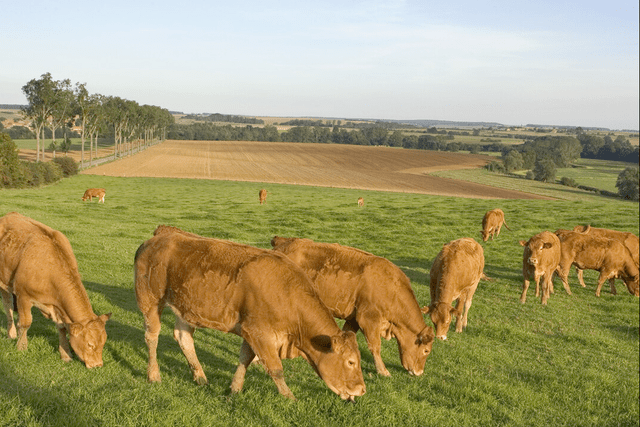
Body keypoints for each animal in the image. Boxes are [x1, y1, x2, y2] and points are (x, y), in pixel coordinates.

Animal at [0, 212, 110, 370]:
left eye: (103, 343)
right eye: (90, 345)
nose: (98, 365)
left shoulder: (58, 307)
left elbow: (62, 328)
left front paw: (66, 355)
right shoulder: (23, 296)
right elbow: (25, 323)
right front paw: (21, 347)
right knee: (8, 307)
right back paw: (12, 333)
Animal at [135, 226, 364, 402]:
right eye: (351, 362)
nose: (362, 389)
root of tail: (163, 235)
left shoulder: (251, 331)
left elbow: (245, 359)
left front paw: (234, 389)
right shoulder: (259, 333)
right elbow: (275, 368)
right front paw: (290, 398)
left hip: (184, 308)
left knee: (184, 338)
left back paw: (200, 377)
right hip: (150, 301)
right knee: (151, 337)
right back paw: (153, 375)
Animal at [270, 237, 436, 378]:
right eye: (426, 350)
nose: (419, 372)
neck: (390, 288)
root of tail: (283, 241)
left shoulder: (354, 319)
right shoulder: (368, 319)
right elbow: (375, 346)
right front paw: (382, 370)